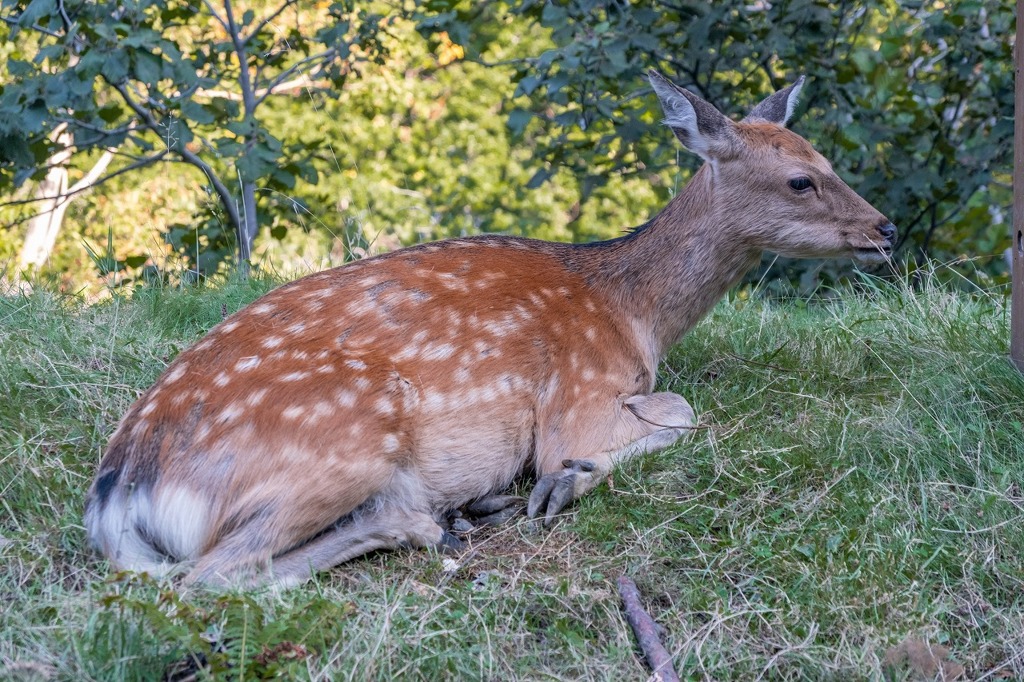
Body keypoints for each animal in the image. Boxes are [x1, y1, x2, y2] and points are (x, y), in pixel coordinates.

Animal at [81, 71, 897, 585]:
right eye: (801, 179)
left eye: (823, 159)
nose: (885, 230)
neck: (634, 312)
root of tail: (121, 491)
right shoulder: (577, 396)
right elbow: (673, 412)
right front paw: (565, 481)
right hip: (345, 438)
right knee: (209, 577)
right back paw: (435, 518)